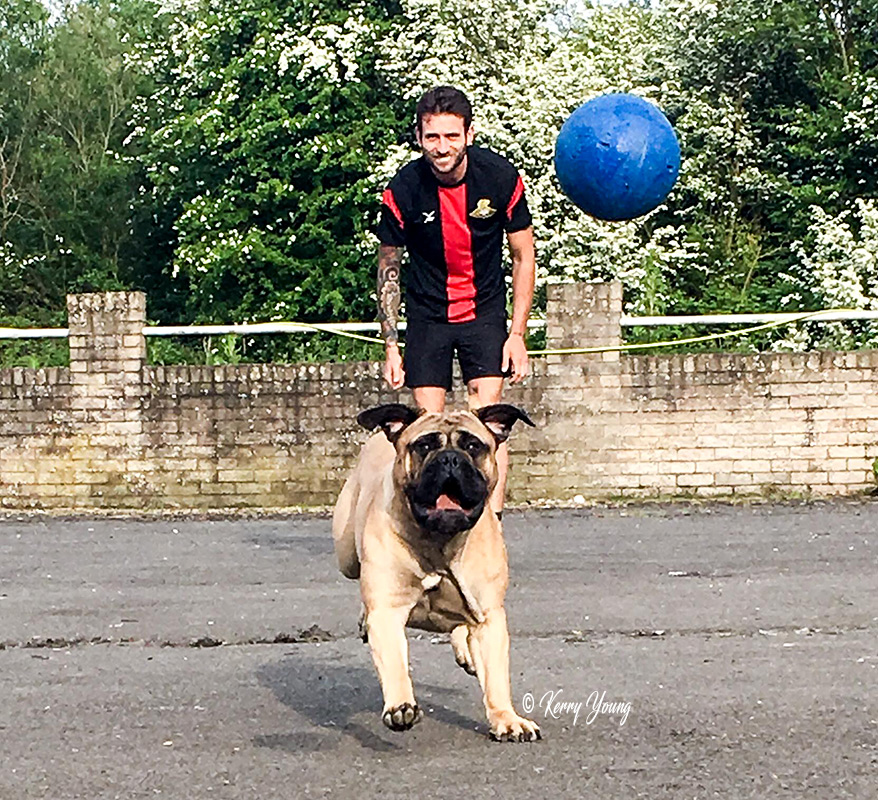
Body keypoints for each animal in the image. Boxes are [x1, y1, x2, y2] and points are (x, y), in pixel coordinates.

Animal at [332, 403, 541, 742]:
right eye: (424, 446)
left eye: (473, 446)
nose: (450, 459)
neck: (439, 541)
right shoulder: (387, 611)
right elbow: (394, 662)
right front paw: (400, 706)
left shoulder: (489, 617)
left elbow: (496, 676)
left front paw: (507, 718)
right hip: (346, 555)